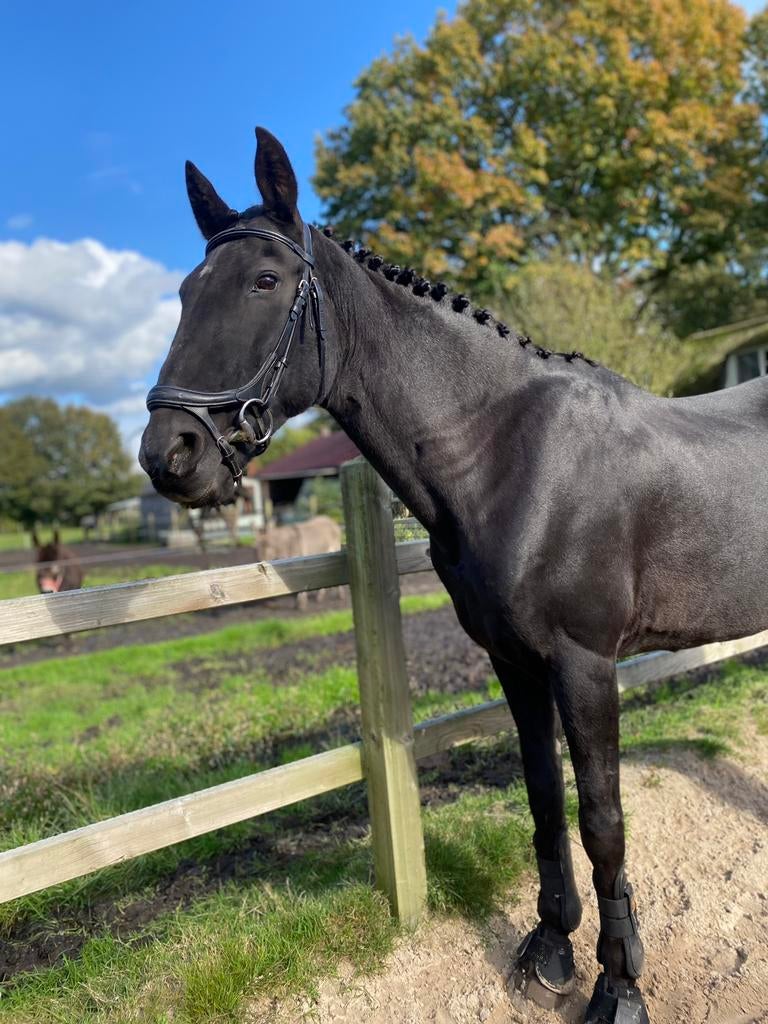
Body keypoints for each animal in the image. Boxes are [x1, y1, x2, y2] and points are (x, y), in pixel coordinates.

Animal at [139, 127, 768, 1024]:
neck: (508, 455)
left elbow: (602, 819)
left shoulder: (586, 665)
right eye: (189, 290)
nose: (170, 455)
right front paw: (550, 948)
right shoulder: (514, 662)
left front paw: (619, 985)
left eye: (265, 281)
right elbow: (542, 796)